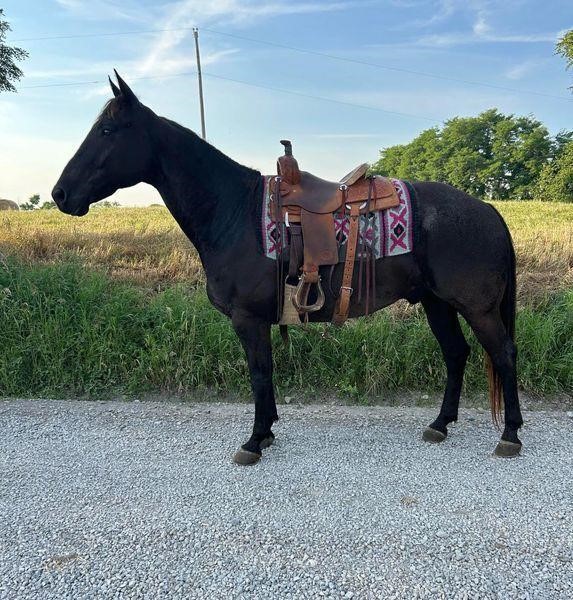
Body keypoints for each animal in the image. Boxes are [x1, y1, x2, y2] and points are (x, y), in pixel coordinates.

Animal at [52, 71, 524, 464]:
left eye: (107, 130)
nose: (60, 194)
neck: (232, 211)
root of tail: (489, 210)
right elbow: (266, 374)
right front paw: (267, 432)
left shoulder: (248, 318)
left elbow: (260, 374)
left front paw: (254, 440)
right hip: (436, 303)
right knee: (457, 353)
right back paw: (440, 424)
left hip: (477, 308)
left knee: (503, 354)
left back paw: (511, 436)